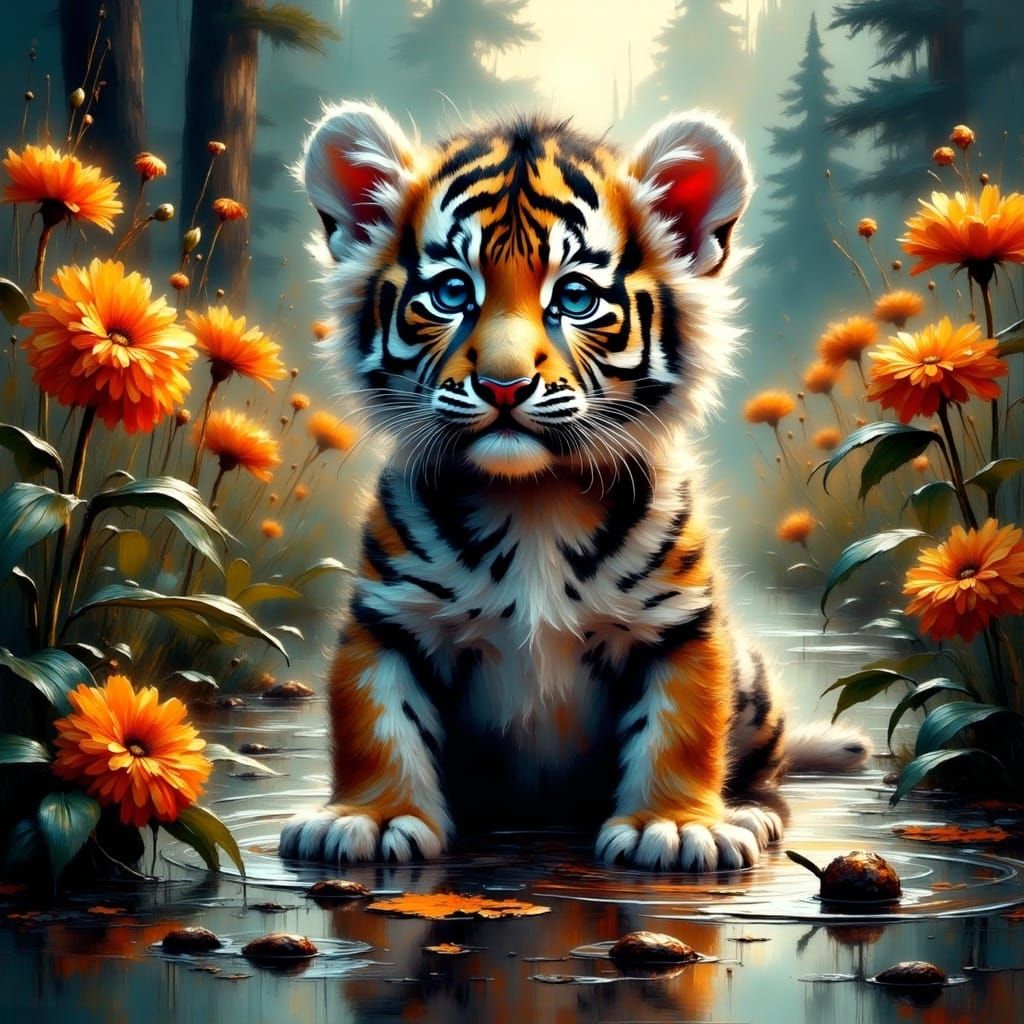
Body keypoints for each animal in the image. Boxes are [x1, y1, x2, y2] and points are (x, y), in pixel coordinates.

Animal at [278, 101, 870, 872]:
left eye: (576, 297)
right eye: (451, 292)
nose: (502, 385)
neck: (532, 497)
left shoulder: (679, 624)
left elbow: (681, 727)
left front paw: (676, 826)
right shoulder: (389, 618)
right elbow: (376, 721)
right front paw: (372, 819)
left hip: (753, 680)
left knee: (767, 769)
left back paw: (747, 811)